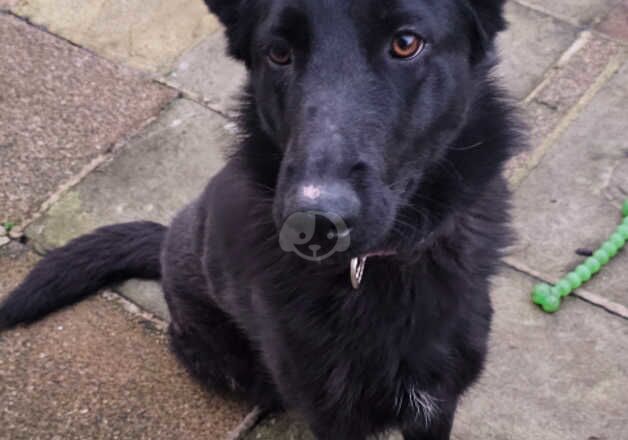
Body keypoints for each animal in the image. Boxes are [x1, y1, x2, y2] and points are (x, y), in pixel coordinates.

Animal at [1, 1, 520, 438]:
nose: (314, 224)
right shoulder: (332, 418)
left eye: (406, 43)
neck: (371, 270)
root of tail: (168, 237)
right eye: (278, 52)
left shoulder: (436, 405)